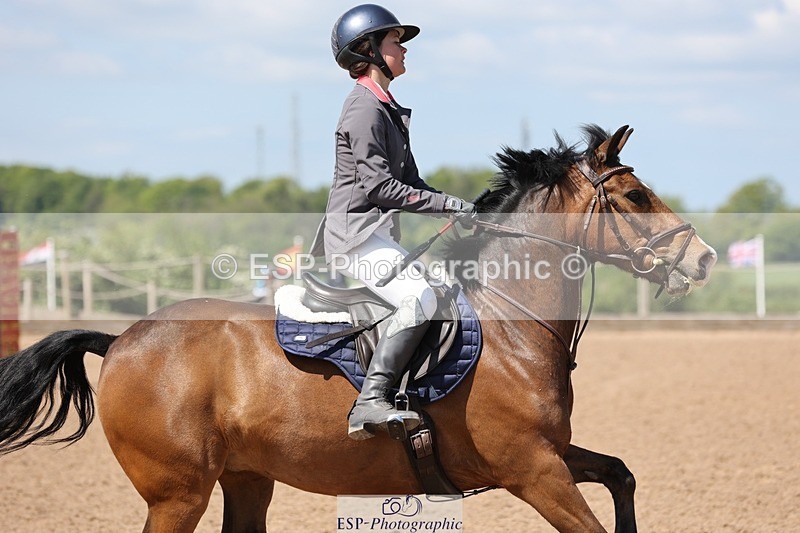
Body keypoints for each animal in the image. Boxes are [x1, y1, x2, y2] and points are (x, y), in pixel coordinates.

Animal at [0, 125, 716, 532]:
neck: (511, 326)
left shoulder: (552, 453)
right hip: (178, 496)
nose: (704, 257)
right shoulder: (533, 468)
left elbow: (621, 474)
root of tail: (120, 339)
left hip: (246, 480)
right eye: (634, 198)